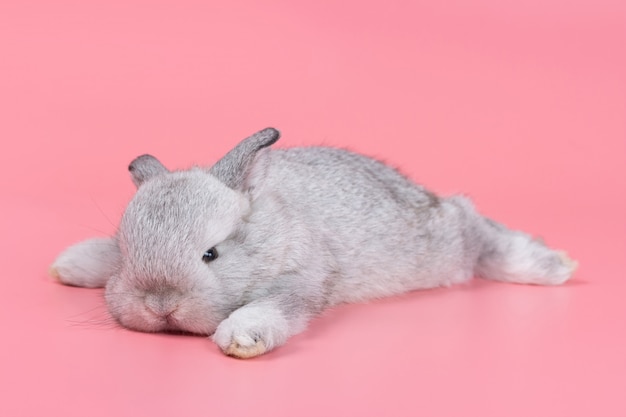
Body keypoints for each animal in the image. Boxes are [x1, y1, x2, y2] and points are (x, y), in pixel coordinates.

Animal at [50, 127, 576, 358]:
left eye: (210, 253)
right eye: (126, 250)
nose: (160, 305)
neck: (270, 222)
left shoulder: (301, 279)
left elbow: (273, 308)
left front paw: (242, 337)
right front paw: (70, 263)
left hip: (447, 243)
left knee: (477, 229)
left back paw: (552, 264)